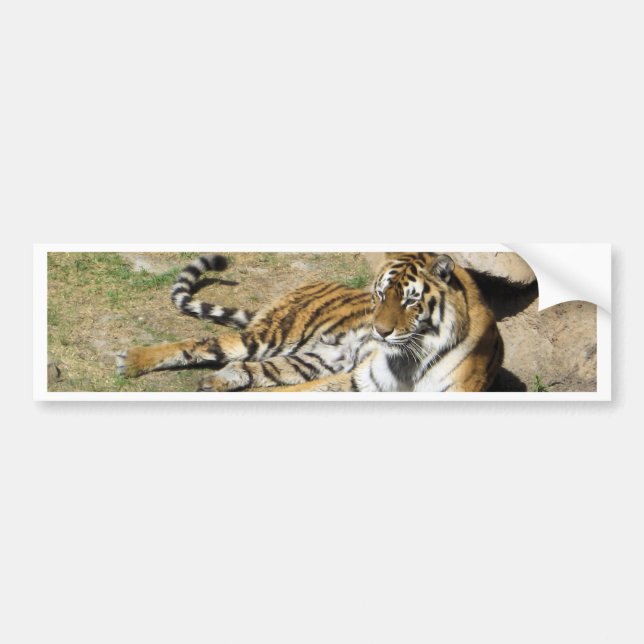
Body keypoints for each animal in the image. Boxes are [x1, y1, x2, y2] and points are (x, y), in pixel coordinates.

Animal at [116, 252, 503, 392]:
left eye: (410, 300)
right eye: (379, 295)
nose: (379, 331)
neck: (413, 357)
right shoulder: (360, 379)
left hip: (313, 359)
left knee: (247, 368)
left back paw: (215, 382)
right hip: (274, 335)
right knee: (199, 343)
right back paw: (131, 361)